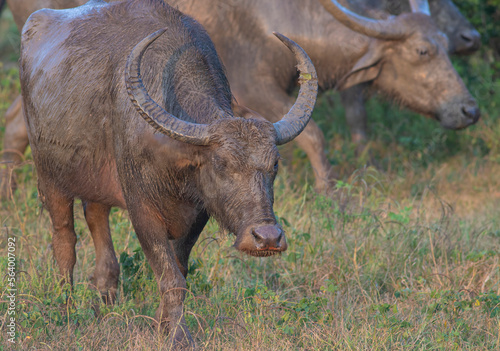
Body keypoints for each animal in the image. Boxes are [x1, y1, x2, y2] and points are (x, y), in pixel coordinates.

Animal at [0, 0, 480, 195]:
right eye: (422, 51)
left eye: (443, 44)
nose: (470, 108)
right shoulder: (253, 91)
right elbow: (314, 134)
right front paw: (330, 191)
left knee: (16, 124)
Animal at [19, 0, 318, 346]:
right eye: (221, 163)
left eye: (274, 164)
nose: (267, 238)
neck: (175, 156)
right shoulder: (142, 210)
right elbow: (170, 277)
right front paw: (176, 336)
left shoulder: (200, 211)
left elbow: (180, 271)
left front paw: (163, 326)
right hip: (49, 177)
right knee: (64, 239)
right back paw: (66, 309)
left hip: (95, 181)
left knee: (96, 219)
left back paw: (105, 299)